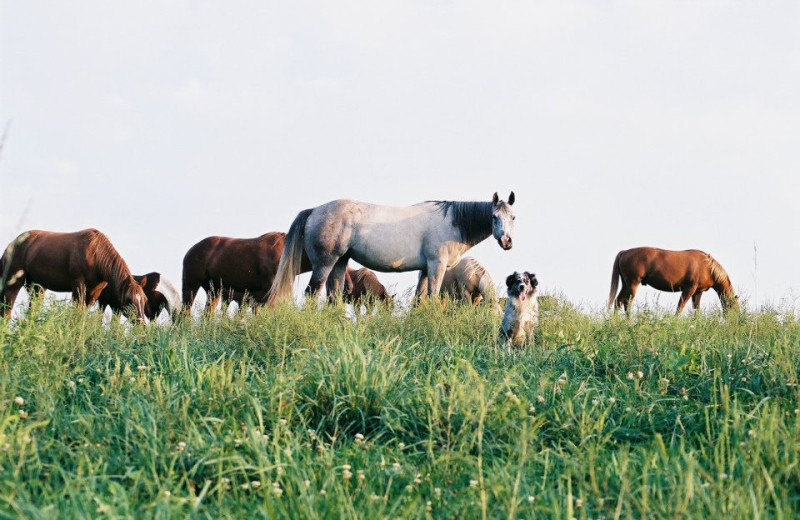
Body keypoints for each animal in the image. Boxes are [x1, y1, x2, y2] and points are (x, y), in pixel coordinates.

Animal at [0, 229, 148, 320]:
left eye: (144, 299)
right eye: (129, 300)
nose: (141, 324)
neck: (95, 253)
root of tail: (11, 245)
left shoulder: (94, 292)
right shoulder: (78, 285)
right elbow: (77, 311)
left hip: (37, 287)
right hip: (14, 284)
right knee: (6, 310)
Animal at [270, 193, 520, 302]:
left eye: (513, 217)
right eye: (494, 217)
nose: (507, 242)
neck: (451, 222)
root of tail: (314, 210)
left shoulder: (425, 270)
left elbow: (420, 298)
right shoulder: (436, 266)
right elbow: (433, 295)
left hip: (340, 262)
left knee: (334, 294)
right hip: (324, 263)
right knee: (313, 292)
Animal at [608, 247, 740, 314]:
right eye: (734, 308)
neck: (707, 267)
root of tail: (624, 252)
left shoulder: (698, 292)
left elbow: (696, 310)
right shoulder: (689, 289)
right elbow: (680, 307)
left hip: (626, 285)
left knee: (618, 302)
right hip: (633, 284)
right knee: (627, 303)